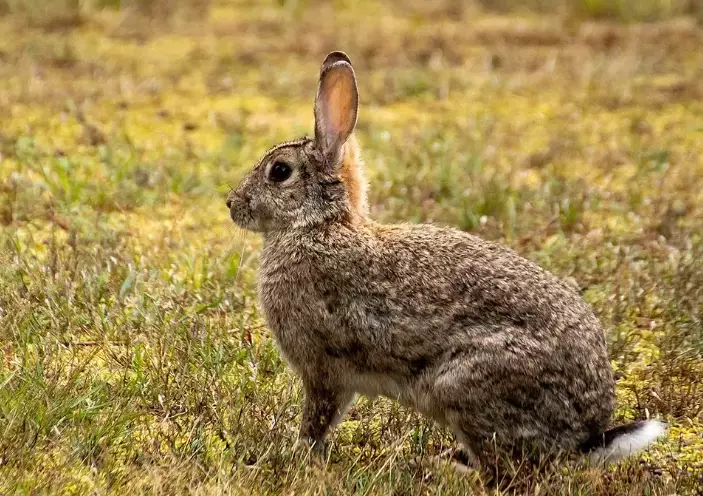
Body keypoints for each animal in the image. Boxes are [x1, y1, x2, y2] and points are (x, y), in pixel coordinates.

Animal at [225, 51, 667, 468]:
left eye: (279, 172)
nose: (232, 204)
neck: (318, 225)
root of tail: (586, 436)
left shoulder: (322, 368)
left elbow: (318, 419)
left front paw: (296, 455)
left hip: (463, 386)